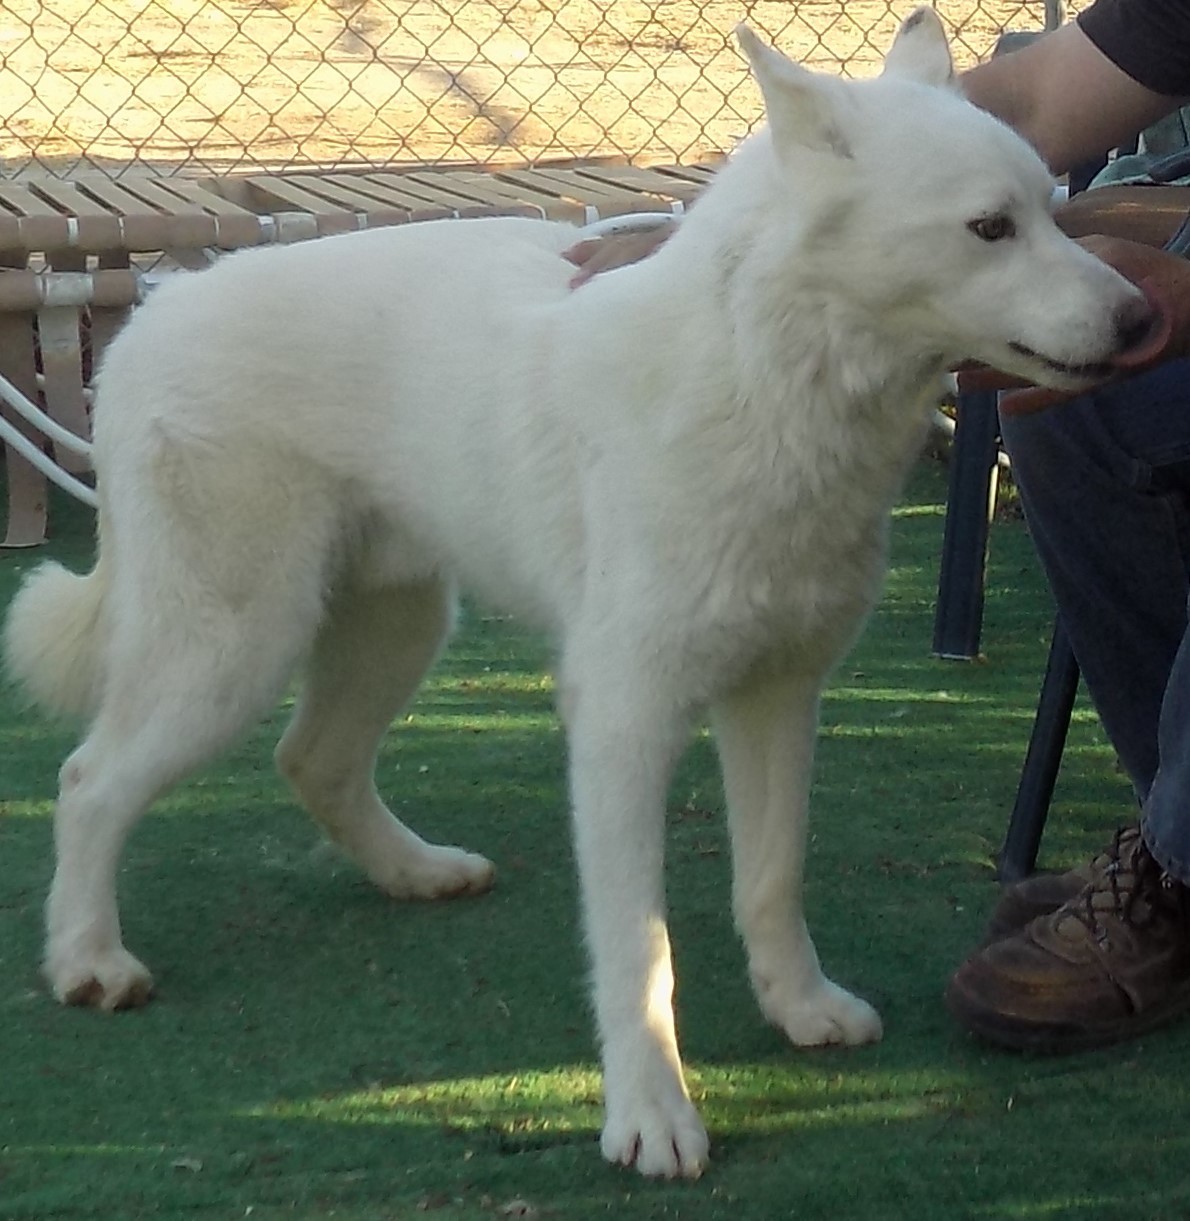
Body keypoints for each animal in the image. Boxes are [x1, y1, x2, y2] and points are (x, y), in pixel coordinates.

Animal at [2, 7, 1152, 1172]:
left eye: (1051, 211)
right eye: (988, 228)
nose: (1144, 319)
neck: (765, 377)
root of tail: (151, 314)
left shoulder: (778, 696)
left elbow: (771, 879)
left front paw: (799, 1008)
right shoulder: (623, 721)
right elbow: (640, 951)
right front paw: (651, 1116)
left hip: (395, 626)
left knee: (310, 759)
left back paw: (414, 871)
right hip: (235, 648)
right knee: (91, 780)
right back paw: (90, 961)